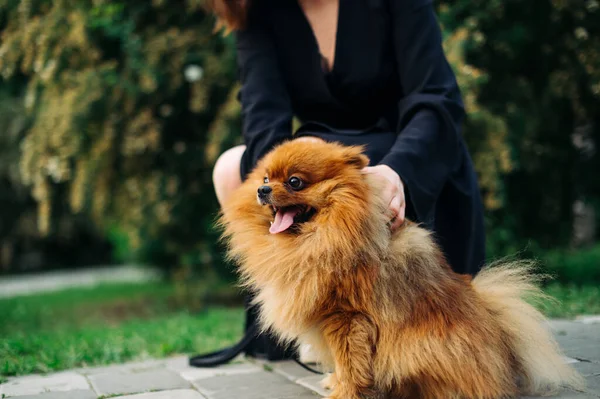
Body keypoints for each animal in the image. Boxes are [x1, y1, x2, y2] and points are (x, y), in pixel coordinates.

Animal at [218, 141, 584, 399]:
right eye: (266, 177)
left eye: (295, 182)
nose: (262, 190)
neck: (322, 237)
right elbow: (341, 362)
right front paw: (335, 381)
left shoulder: (346, 317)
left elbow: (350, 362)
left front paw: (346, 392)